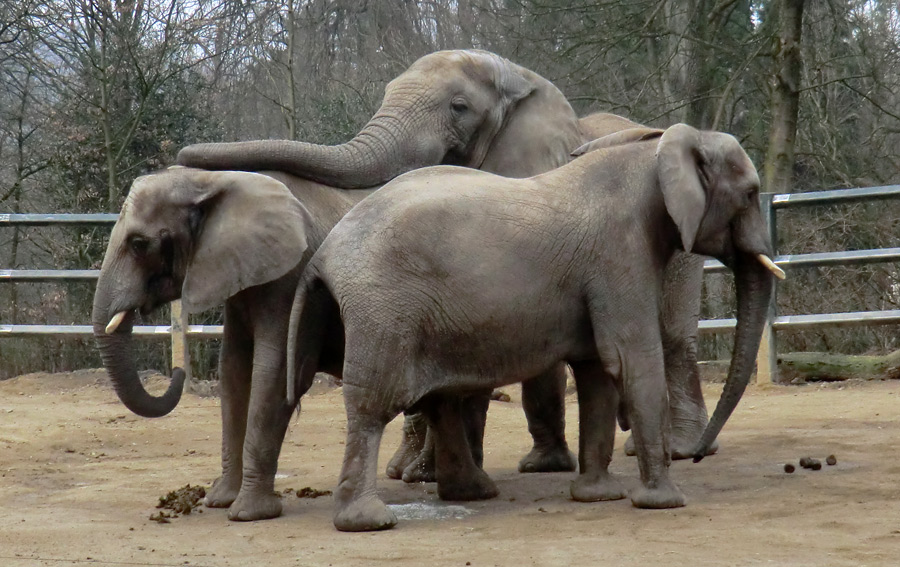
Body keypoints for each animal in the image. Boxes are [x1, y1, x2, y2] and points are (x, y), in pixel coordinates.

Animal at [95, 50, 588, 524]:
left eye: (139, 244)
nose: (177, 374)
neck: (226, 187)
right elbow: (234, 372)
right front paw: (220, 502)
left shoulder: (288, 275)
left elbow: (274, 372)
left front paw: (250, 514)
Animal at [286, 124, 780, 532]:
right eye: (751, 194)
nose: (695, 456)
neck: (651, 151)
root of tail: (325, 251)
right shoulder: (619, 255)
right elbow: (631, 360)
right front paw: (664, 502)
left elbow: (597, 374)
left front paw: (598, 497)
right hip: (385, 311)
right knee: (374, 404)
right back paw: (368, 521)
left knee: (440, 400)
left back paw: (474, 493)